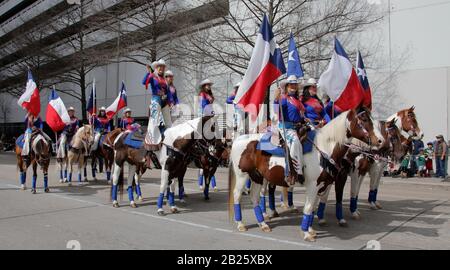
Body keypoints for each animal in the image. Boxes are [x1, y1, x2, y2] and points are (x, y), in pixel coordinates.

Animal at [227, 106, 382, 242]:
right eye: (364, 119)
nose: (380, 141)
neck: (324, 148)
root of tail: (238, 140)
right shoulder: (313, 185)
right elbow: (308, 207)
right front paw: (307, 233)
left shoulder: (323, 184)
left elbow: (313, 207)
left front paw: (310, 229)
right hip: (242, 176)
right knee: (237, 195)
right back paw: (241, 224)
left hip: (257, 176)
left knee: (254, 197)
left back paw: (263, 224)